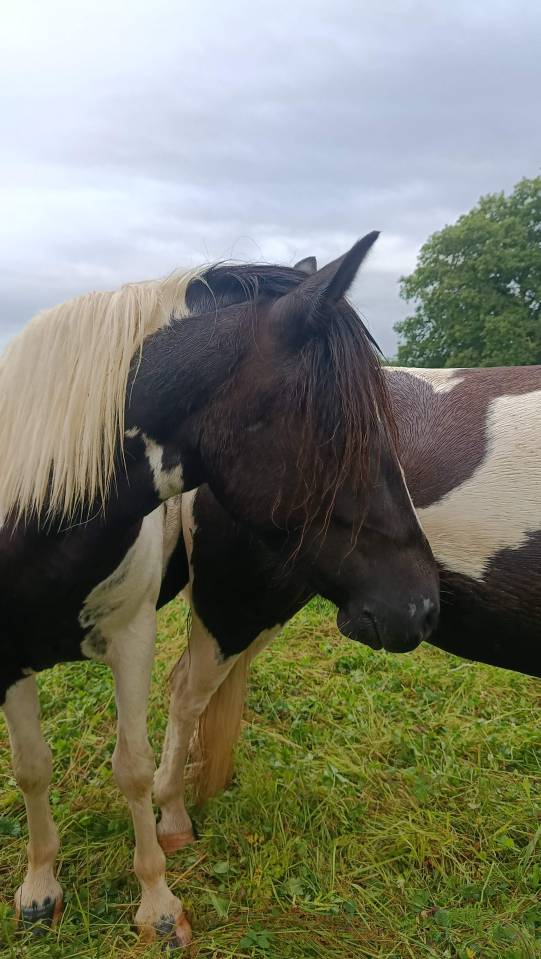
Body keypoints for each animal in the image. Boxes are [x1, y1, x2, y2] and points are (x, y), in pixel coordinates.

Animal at [0, 234, 439, 950]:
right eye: (345, 433)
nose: (423, 606)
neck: (31, 515)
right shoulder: (7, 657)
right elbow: (32, 766)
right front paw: (40, 889)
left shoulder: (132, 637)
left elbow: (131, 766)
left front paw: (157, 904)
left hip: (242, 612)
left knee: (187, 696)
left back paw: (174, 818)